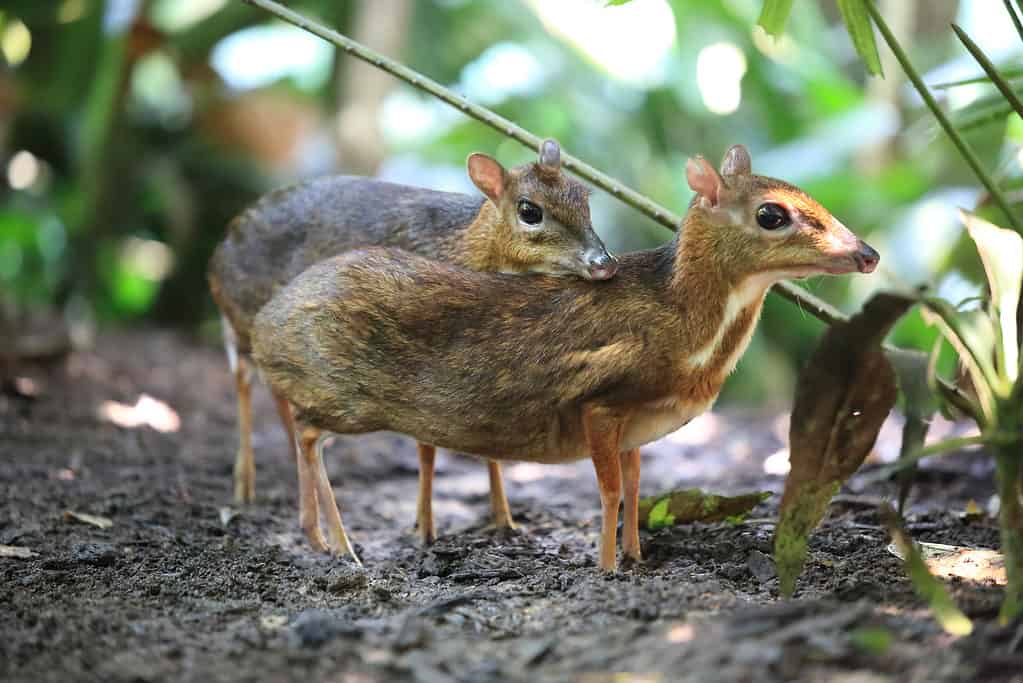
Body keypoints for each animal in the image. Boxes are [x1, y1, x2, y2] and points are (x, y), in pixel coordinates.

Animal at [203, 141, 609, 548]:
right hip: (248, 324)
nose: (603, 262)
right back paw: (247, 487)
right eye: (530, 211)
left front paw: (504, 522)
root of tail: (217, 254)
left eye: (584, 197)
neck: (465, 247)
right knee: (244, 378)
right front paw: (425, 529)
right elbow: (426, 447)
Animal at [251, 145, 875, 572]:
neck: (687, 331)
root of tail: (264, 325)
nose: (867, 253)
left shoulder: (637, 423)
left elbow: (636, 484)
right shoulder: (599, 402)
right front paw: (605, 567)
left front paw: (637, 557)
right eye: (772, 214)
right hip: (345, 398)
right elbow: (609, 490)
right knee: (306, 432)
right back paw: (337, 545)